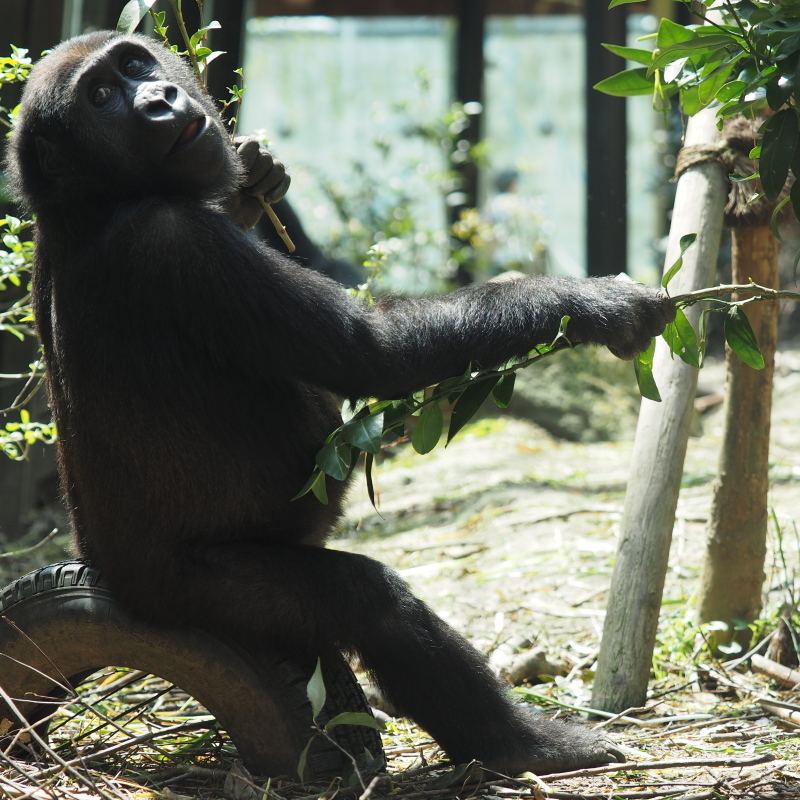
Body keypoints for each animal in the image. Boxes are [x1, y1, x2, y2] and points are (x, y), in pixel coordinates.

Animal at [4, 31, 676, 776]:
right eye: (100, 97)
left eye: (134, 65)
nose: (158, 98)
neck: (93, 197)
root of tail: (101, 574)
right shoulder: (176, 243)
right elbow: (371, 352)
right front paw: (592, 303)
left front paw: (256, 179)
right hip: (192, 598)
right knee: (372, 606)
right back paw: (524, 742)